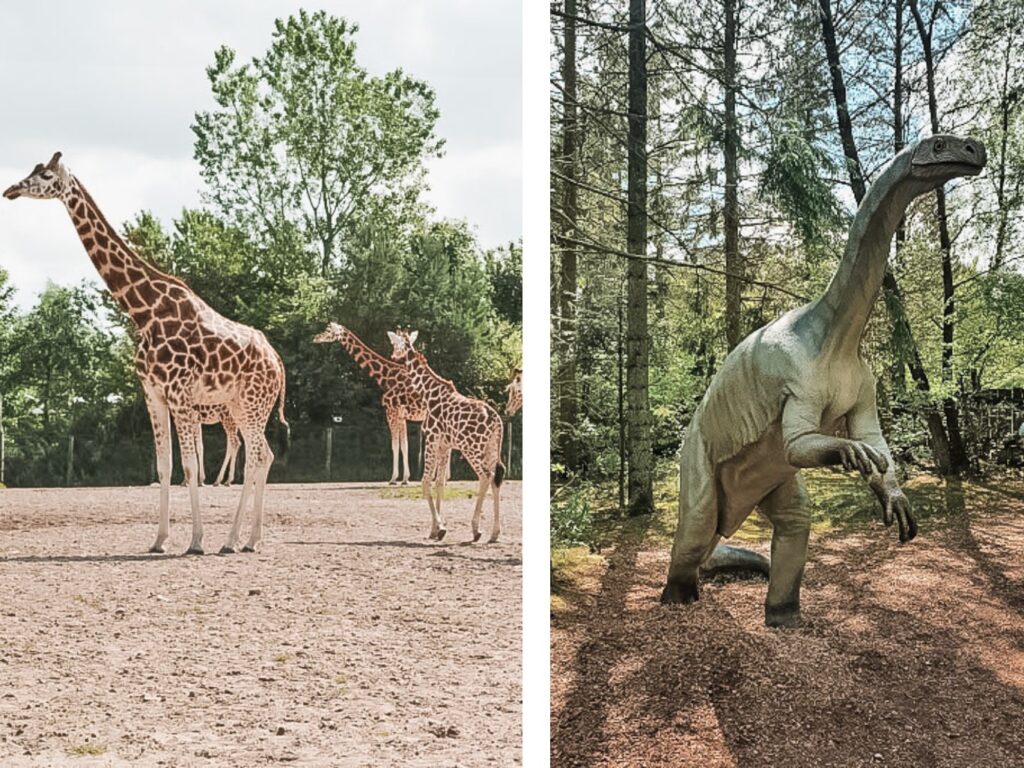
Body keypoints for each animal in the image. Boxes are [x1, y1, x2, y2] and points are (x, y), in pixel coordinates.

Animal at [4, 153, 286, 557]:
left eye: (43, 175)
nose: (10, 190)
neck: (144, 311)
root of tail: (278, 363)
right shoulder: (153, 394)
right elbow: (164, 465)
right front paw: (159, 540)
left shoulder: (180, 395)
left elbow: (189, 466)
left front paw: (196, 541)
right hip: (239, 406)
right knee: (263, 456)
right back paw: (247, 540)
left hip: (251, 405)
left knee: (260, 456)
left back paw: (236, 540)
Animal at [387, 327, 503, 544]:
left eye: (394, 343)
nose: (392, 356)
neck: (428, 392)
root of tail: (496, 420)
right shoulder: (444, 445)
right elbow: (439, 483)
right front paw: (435, 529)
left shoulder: (432, 439)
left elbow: (425, 482)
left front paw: (440, 528)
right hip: (491, 448)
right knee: (496, 478)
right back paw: (494, 533)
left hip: (471, 448)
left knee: (485, 476)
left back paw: (476, 529)